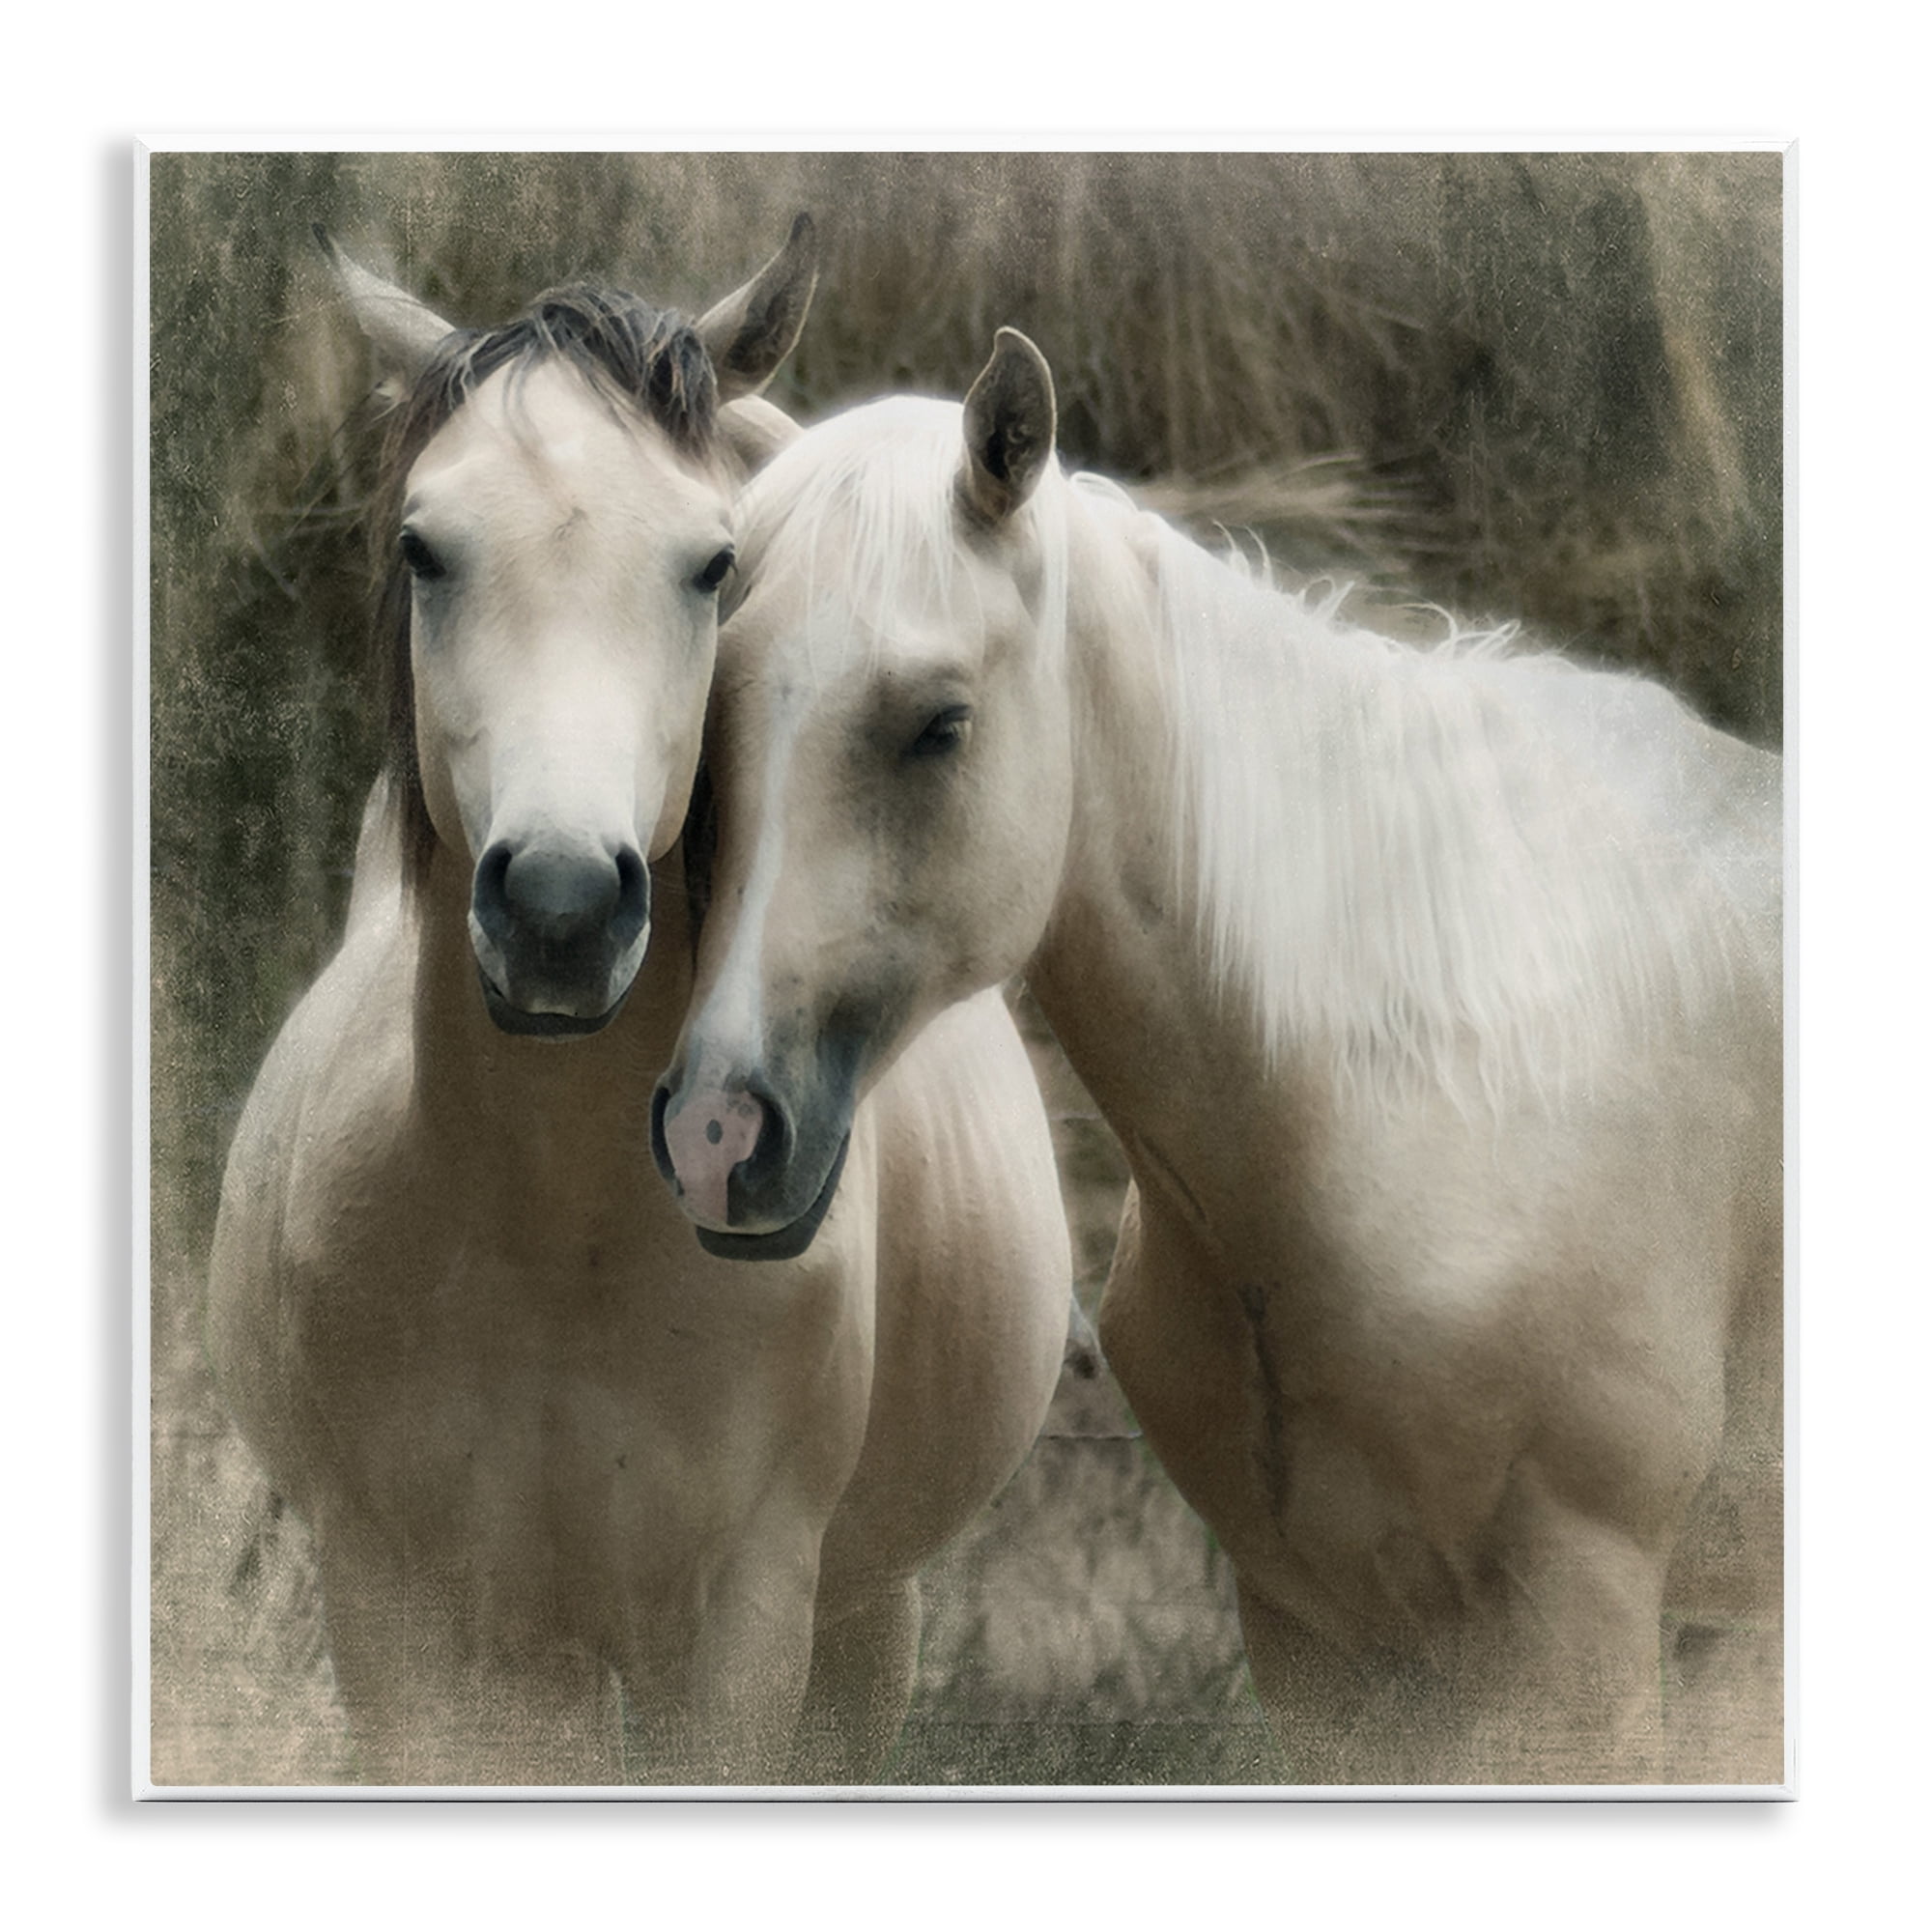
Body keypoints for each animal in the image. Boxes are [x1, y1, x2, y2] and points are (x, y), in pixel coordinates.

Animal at [203, 242, 1071, 1788]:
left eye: (711, 564)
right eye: (423, 549)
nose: (559, 904)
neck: (558, 1237)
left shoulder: (737, 1634)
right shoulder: (406, 1625)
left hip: (864, 1619)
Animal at [652, 328, 1785, 1785]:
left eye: (939, 723)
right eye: (710, 729)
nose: (717, 1135)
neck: (1434, 1092)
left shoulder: (1575, 1642)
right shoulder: (1323, 1647)